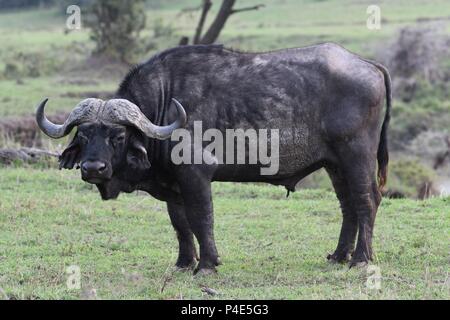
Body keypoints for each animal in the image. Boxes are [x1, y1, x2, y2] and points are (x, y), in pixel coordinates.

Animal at [37, 43, 392, 276]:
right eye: (83, 136)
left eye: (118, 136)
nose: (93, 168)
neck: (164, 106)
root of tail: (369, 65)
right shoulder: (173, 185)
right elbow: (180, 224)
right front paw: (184, 263)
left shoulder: (195, 175)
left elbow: (201, 218)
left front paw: (207, 265)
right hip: (335, 165)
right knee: (348, 205)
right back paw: (340, 255)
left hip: (356, 156)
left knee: (367, 200)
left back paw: (362, 259)